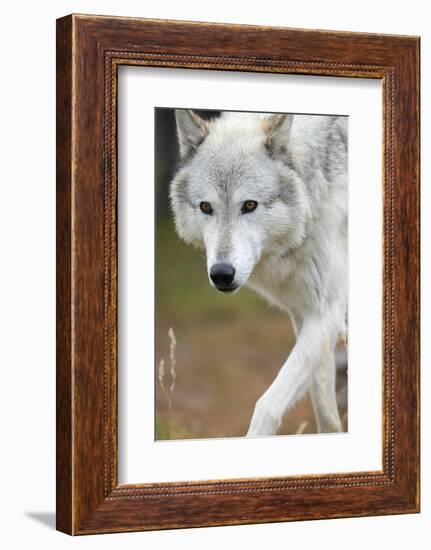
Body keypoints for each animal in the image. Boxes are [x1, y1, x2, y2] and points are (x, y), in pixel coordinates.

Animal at [169, 108, 348, 438]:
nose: (221, 274)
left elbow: (268, 404)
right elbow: (325, 410)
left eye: (250, 205)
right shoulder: (306, 313)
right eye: (206, 207)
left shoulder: (328, 311)